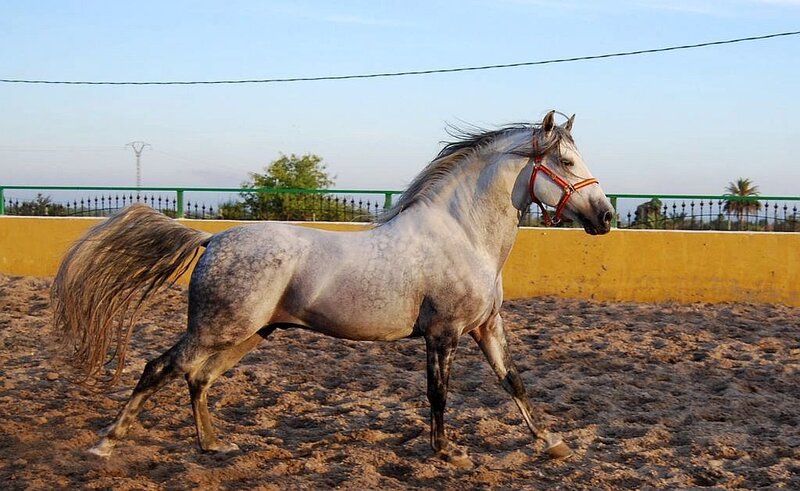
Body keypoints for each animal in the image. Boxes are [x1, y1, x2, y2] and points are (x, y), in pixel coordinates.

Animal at [51, 110, 613, 468]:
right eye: (566, 163)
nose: (605, 217)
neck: (463, 234)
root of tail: (213, 240)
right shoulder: (444, 333)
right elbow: (439, 394)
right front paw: (448, 452)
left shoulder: (486, 327)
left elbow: (513, 383)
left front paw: (553, 444)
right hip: (218, 328)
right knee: (160, 368)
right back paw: (104, 447)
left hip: (250, 333)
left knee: (197, 377)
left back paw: (214, 446)